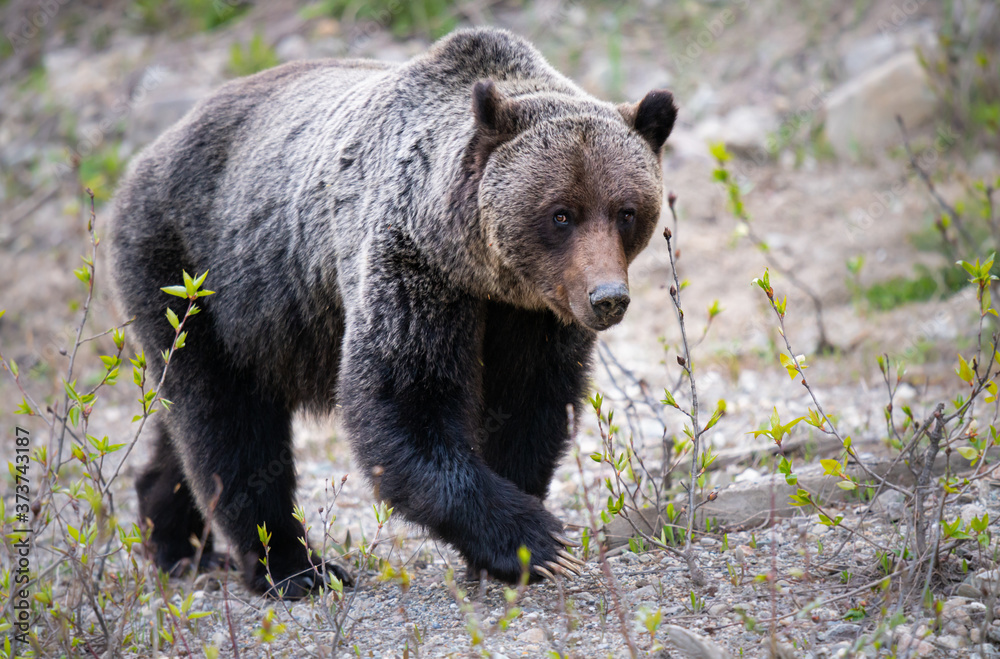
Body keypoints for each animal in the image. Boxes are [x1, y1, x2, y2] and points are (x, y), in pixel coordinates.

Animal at [110, 27, 676, 598]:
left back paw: (177, 543)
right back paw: (295, 567)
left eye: (627, 211)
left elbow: (530, 407)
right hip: (194, 277)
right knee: (226, 421)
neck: (481, 272)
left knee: (186, 428)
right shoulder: (411, 268)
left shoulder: (536, 316)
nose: (606, 297)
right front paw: (537, 542)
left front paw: (511, 548)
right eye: (561, 214)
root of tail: (147, 155)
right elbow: (403, 404)